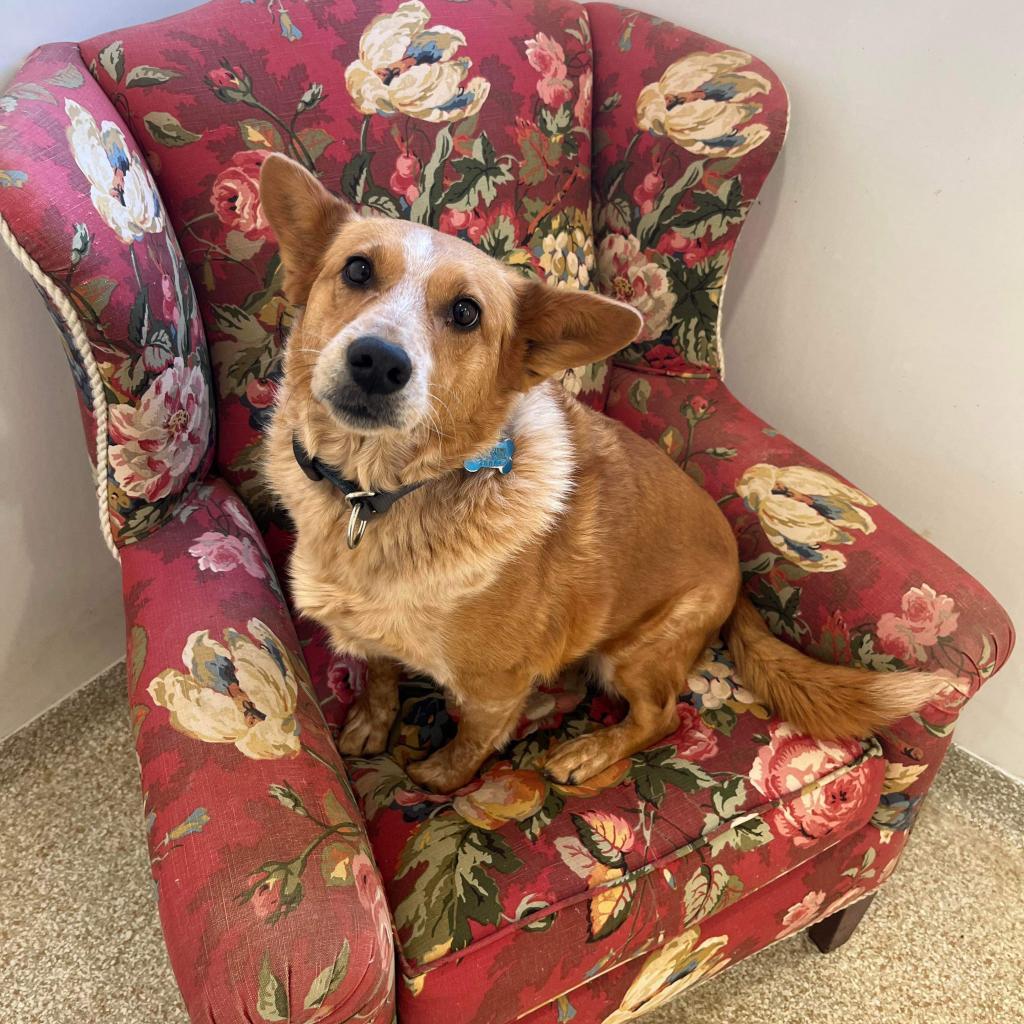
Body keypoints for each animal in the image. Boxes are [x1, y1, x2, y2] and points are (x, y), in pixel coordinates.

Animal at [256, 151, 937, 790]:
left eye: (467, 313)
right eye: (357, 270)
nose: (378, 361)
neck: (375, 494)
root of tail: (737, 570)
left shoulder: (496, 688)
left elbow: (472, 742)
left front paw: (439, 778)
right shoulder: (369, 633)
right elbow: (378, 675)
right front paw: (372, 723)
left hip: (634, 651)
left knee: (662, 715)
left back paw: (587, 752)